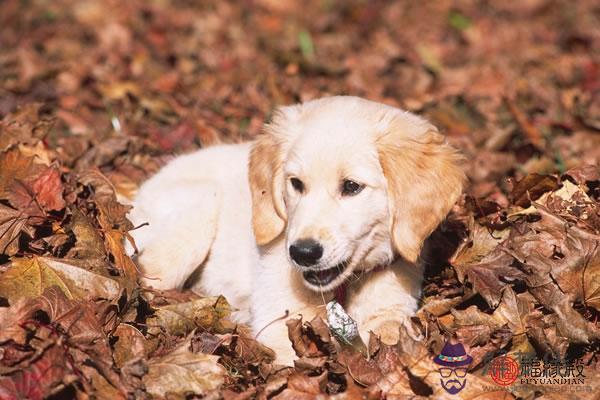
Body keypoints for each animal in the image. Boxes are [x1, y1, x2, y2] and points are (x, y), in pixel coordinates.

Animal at [126, 96, 464, 362]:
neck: (340, 291)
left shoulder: (390, 308)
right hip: (201, 205)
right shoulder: (279, 321)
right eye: (296, 183)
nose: (303, 253)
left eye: (351, 187)